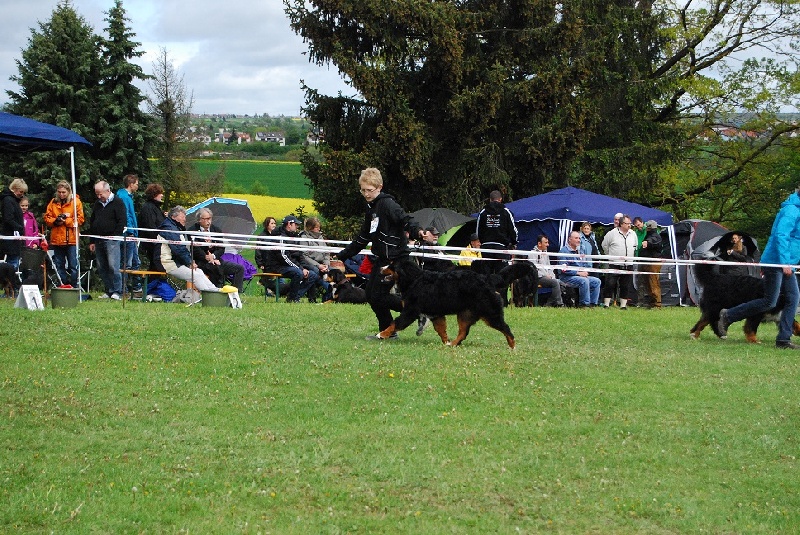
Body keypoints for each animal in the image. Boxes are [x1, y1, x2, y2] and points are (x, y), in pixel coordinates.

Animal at [376, 258, 532, 348]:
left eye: (391, 266)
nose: (380, 268)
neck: (414, 279)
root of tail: (487, 278)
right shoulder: (436, 314)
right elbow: (441, 330)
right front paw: (446, 341)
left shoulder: (410, 311)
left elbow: (395, 323)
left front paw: (382, 334)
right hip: (465, 314)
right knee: (463, 332)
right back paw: (453, 344)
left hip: (490, 313)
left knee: (506, 328)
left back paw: (512, 346)